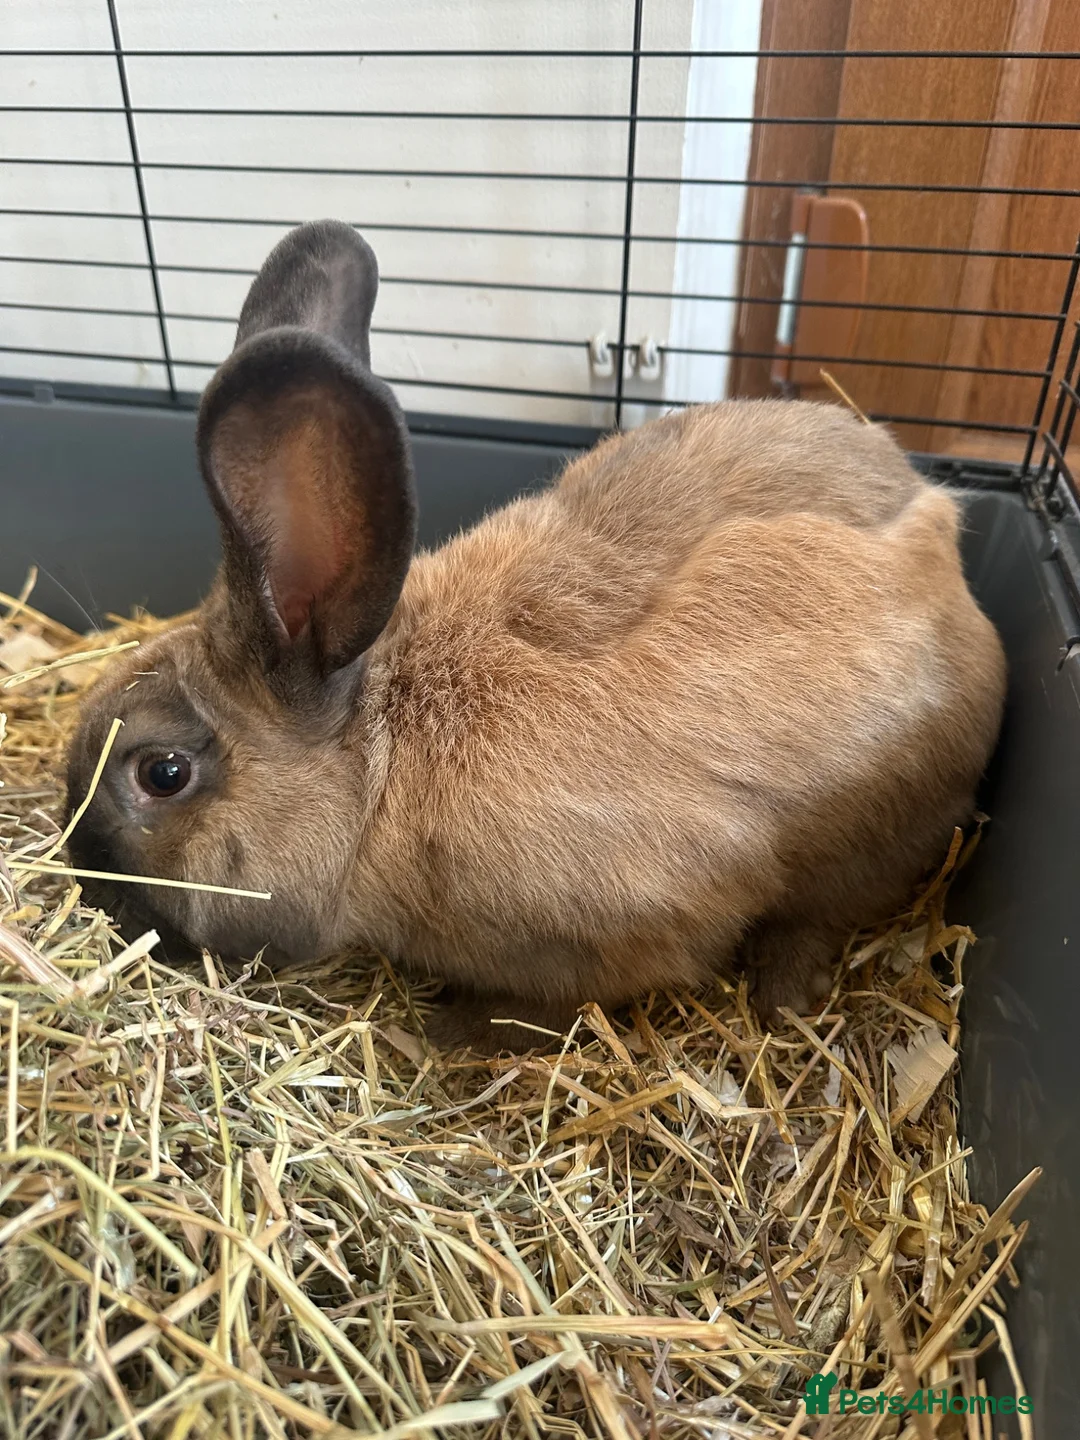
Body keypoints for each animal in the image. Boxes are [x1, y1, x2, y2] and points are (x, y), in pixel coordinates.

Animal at [64, 219, 1006, 1054]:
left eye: (162, 773)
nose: (85, 881)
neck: (381, 775)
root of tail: (953, 558)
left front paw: (456, 1032)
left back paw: (782, 995)